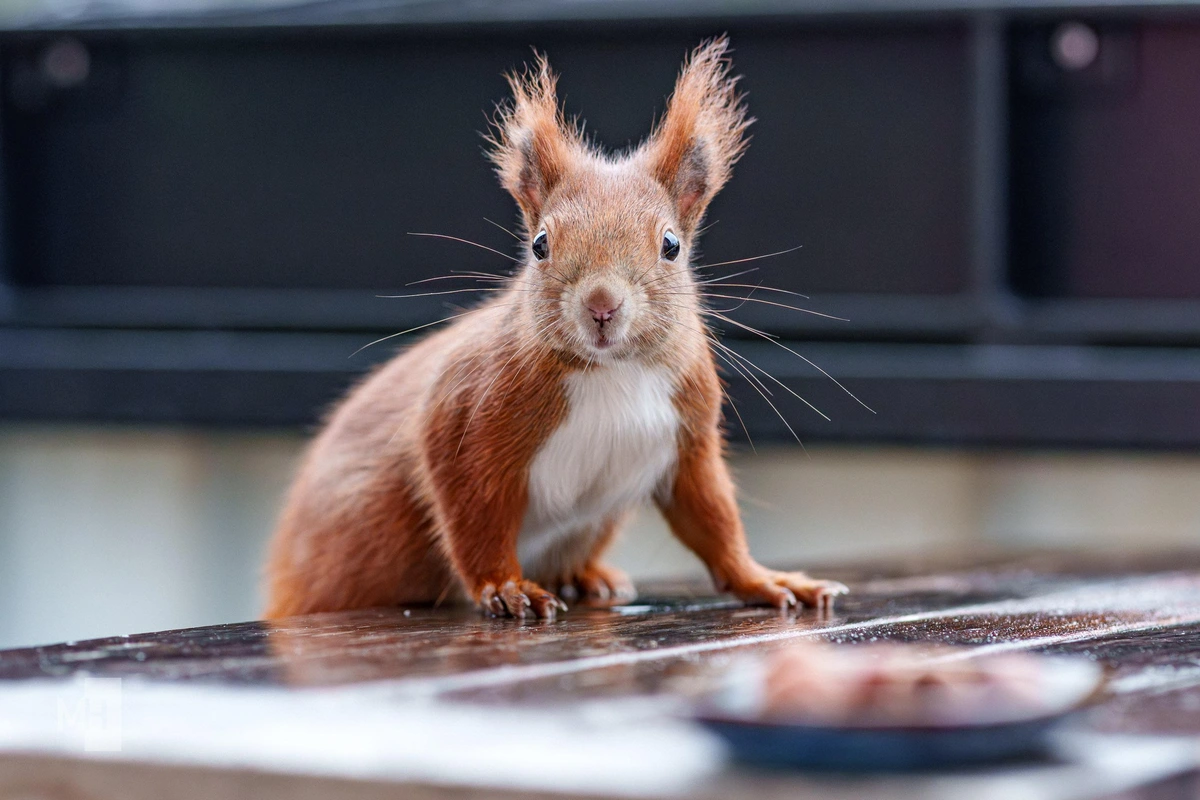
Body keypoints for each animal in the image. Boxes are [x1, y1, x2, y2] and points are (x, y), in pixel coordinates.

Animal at [263, 37, 849, 620]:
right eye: (540, 243)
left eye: (671, 245)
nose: (601, 305)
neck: (611, 372)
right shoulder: (465, 416)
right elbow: (474, 516)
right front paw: (505, 587)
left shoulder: (689, 435)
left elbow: (713, 520)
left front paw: (768, 580)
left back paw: (586, 576)